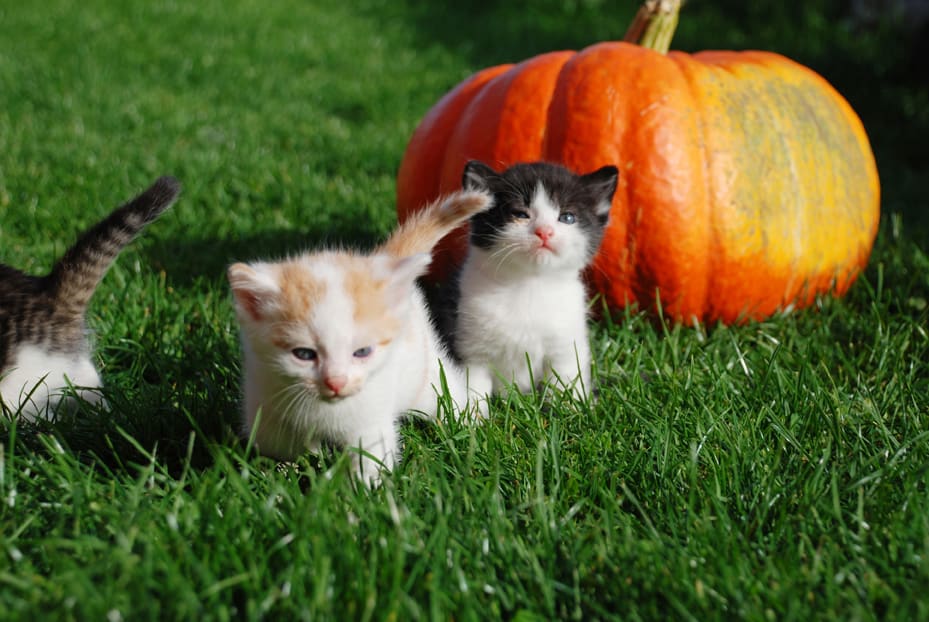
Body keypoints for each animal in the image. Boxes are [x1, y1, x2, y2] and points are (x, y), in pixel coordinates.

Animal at [227, 188, 492, 486]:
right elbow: (281, 447)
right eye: (304, 354)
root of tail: (379, 260)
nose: (336, 382)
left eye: (362, 352)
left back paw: (467, 419)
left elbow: (371, 456)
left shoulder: (370, 418)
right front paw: (287, 470)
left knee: (444, 391)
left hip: (422, 374)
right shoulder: (265, 404)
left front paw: (359, 490)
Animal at [451, 160, 618, 399]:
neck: (529, 283)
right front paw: (470, 410)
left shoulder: (566, 347)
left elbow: (565, 383)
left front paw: (569, 406)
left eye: (567, 217)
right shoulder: (471, 350)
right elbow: (473, 387)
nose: (544, 232)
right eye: (521, 214)